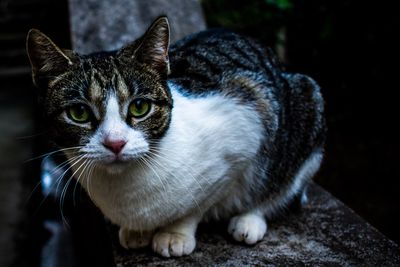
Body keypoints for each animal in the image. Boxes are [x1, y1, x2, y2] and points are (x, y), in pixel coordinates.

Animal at [25, 16, 324, 258]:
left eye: (139, 107)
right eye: (79, 113)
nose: (115, 143)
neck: (126, 190)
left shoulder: (244, 131)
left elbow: (199, 204)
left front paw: (174, 234)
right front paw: (136, 231)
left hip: (307, 101)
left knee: (278, 184)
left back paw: (249, 220)